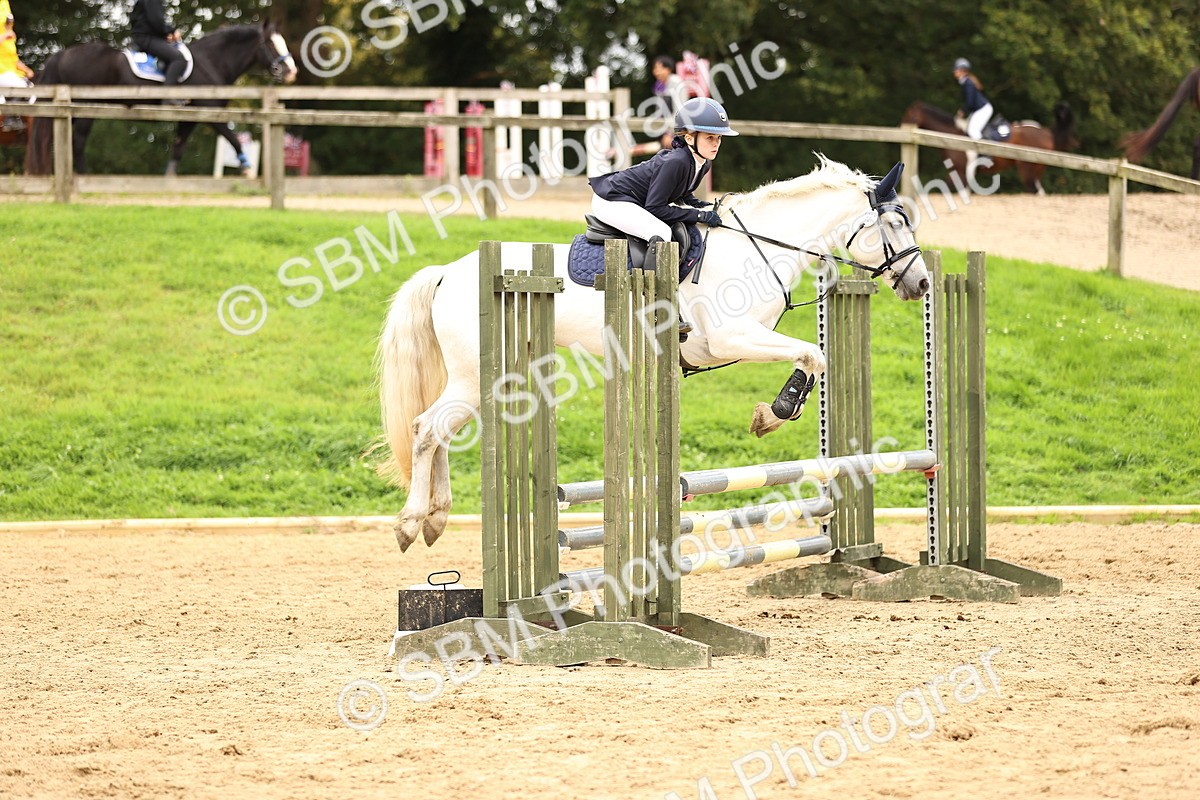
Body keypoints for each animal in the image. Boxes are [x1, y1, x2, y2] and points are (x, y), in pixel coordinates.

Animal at [25, 23, 296, 177]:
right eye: (270, 43)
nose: (291, 71)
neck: (211, 61)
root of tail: (61, 54)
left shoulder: (189, 118)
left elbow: (178, 149)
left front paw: (169, 179)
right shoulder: (210, 111)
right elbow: (232, 137)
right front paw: (247, 168)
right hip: (86, 109)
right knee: (78, 143)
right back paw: (85, 177)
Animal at [375, 157, 931, 552]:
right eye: (895, 225)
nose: (922, 284)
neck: (760, 249)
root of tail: (448, 272)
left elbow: (813, 357)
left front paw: (773, 412)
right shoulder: (732, 337)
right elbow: (813, 354)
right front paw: (775, 413)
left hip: (493, 374)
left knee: (441, 432)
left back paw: (436, 518)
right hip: (477, 376)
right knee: (427, 430)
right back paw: (411, 523)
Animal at [902, 100, 1075, 194]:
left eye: (910, 114)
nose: (900, 127)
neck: (950, 136)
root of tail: (1047, 132)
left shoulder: (961, 172)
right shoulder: (959, 173)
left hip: (1027, 170)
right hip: (1036, 171)